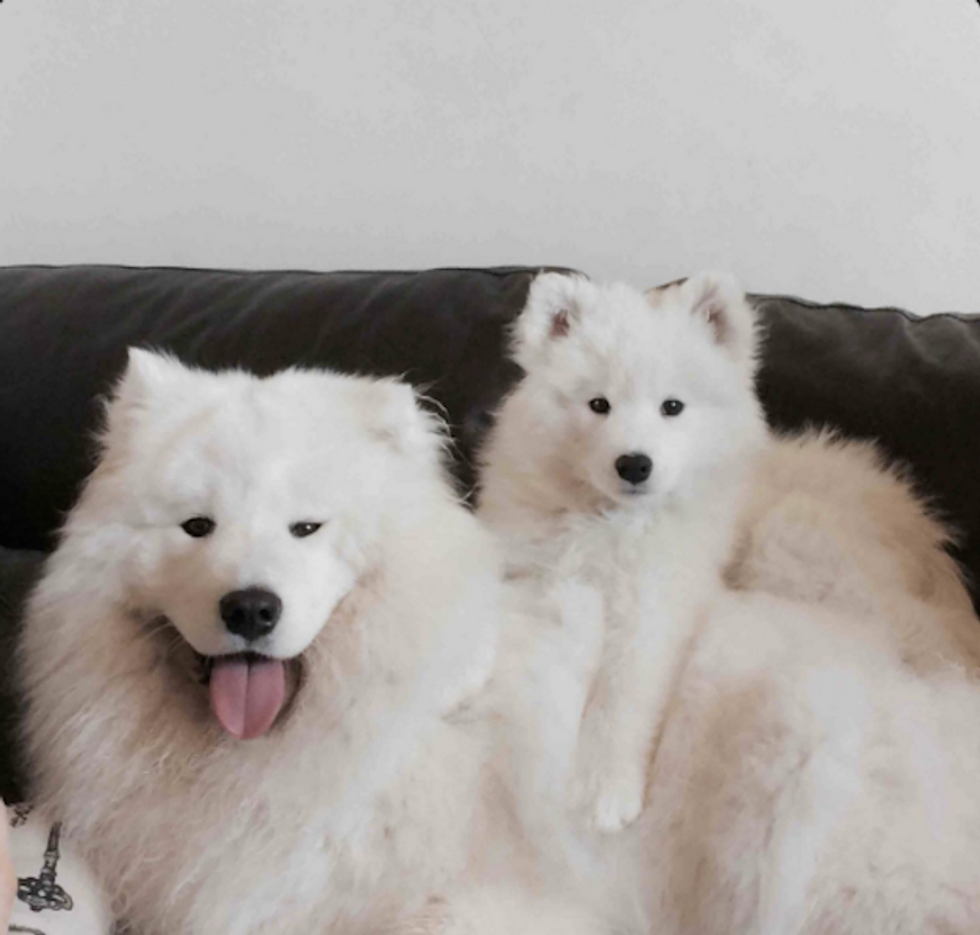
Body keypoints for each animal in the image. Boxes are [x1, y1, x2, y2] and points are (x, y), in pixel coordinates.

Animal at [478, 272, 768, 832]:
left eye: (672, 407)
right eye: (598, 404)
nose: (634, 464)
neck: (609, 522)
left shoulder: (651, 612)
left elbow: (621, 700)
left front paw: (602, 791)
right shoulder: (534, 572)